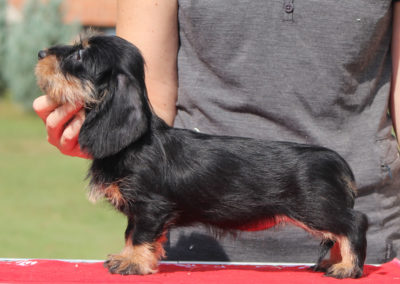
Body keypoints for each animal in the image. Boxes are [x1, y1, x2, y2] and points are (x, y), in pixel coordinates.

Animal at [35, 35, 368, 278]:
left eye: (80, 56)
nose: (39, 53)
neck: (135, 143)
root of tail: (335, 161)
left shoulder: (151, 207)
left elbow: (140, 236)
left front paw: (133, 263)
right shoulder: (138, 210)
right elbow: (130, 234)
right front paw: (126, 257)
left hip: (315, 208)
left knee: (354, 224)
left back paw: (347, 267)